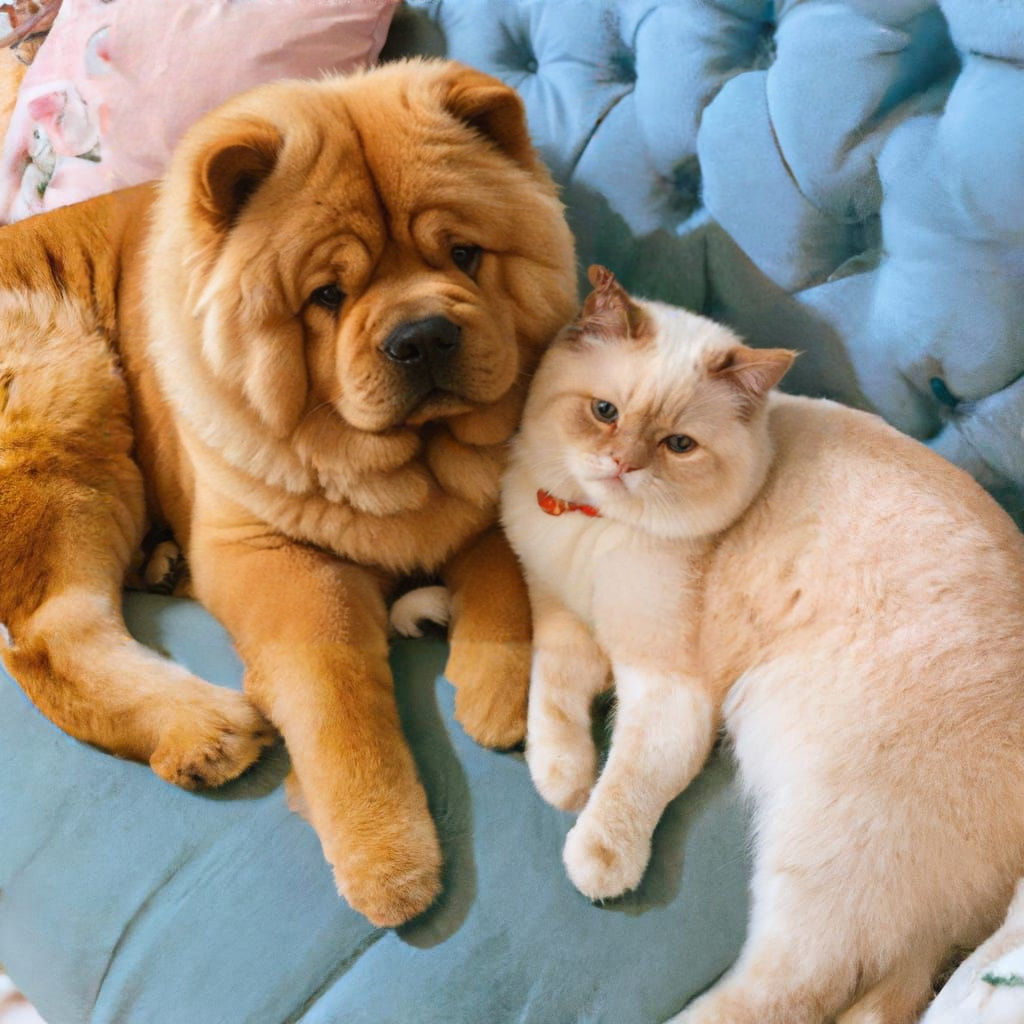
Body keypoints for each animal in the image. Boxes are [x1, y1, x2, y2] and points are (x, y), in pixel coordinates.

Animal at [0, 59, 577, 927]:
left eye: (465, 254)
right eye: (327, 296)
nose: (422, 335)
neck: (413, 464)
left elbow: (506, 571)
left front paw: (494, 692)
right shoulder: (271, 558)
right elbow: (337, 703)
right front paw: (387, 863)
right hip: (67, 410)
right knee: (49, 638)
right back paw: (204, 729)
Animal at [499, 265, 1024, 1024]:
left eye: (678, 446)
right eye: (603, 412)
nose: (621, 465)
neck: (598, 528)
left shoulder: (667, 688)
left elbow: (627, 779)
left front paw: (596, 855)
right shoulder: (562, 616)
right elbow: (554, 700)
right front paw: (560, 779)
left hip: (824, 836)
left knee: (796, 986)